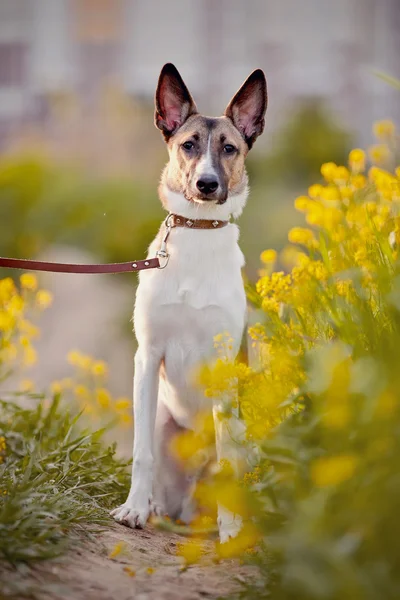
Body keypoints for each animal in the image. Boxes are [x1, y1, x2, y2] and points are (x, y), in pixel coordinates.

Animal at [111, 63, 268, 540]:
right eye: (189, 145)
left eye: (229, 148)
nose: (207, 183)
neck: (198, 232)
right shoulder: (148, 357)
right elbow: (141, 452)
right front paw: (134, 509)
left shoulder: (223, 366)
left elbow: (229, 461)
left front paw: (231, 534)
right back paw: (156, 508)